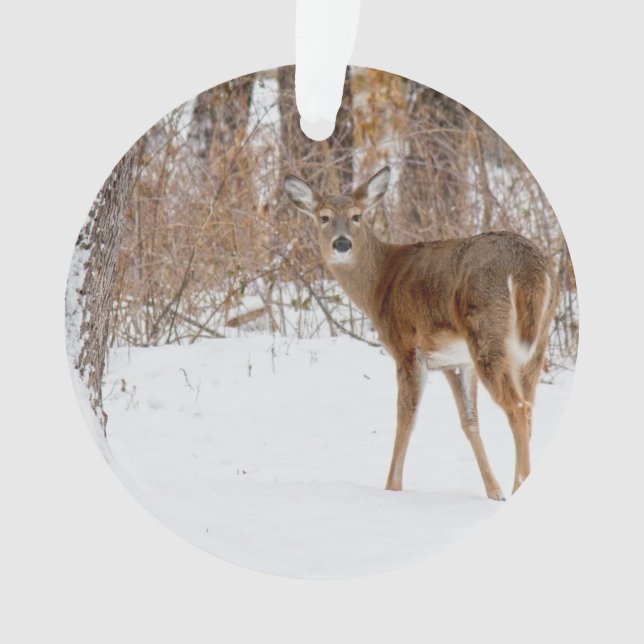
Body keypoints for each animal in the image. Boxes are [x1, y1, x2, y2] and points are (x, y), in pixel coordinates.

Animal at [284, 166, 557, 500]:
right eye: (323, 217)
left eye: (356, 215)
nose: (342, 244)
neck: (379, 284)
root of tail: (526, 267)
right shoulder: (454, 361)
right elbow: (469, 422)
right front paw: (494, 491)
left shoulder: (406, 345)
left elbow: (406, 418)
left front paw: (392, 487)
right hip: (537, 341)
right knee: (528, 406)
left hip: (486, 331)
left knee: (518, 407)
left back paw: (519, 484)